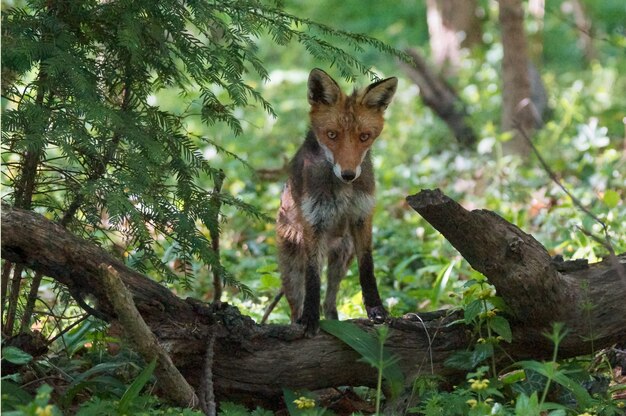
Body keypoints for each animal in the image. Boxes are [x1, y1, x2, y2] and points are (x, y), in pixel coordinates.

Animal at [272, 67, 394, 334]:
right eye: (331, 135)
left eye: (364, 137)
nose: (348, 175)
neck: (344, 191)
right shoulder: (314, 223)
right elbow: (313, 279)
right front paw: (309, 319)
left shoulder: (362, 216)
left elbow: (367, 268)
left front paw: (376, 310)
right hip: (292, 268)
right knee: (296, 304)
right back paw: (301, 319)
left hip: (343, 256)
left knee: (330, 300)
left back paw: (335, 322)